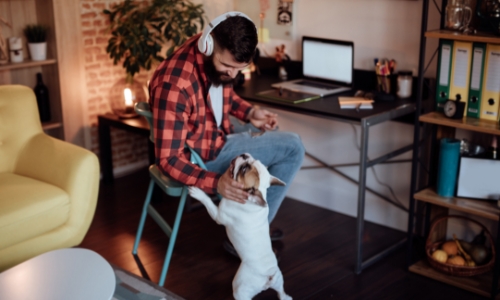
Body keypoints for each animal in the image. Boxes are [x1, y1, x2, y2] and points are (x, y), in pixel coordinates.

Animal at [188, 155, 292, 300]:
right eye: (253, 160)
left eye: (244, 169)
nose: (244, 155)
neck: (250, 200)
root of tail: (269, 277)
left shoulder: (218, 216)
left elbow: (208, 202)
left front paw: (198, 193)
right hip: (278, 279)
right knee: (281, 292)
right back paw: (286, 297)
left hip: (241, 289)